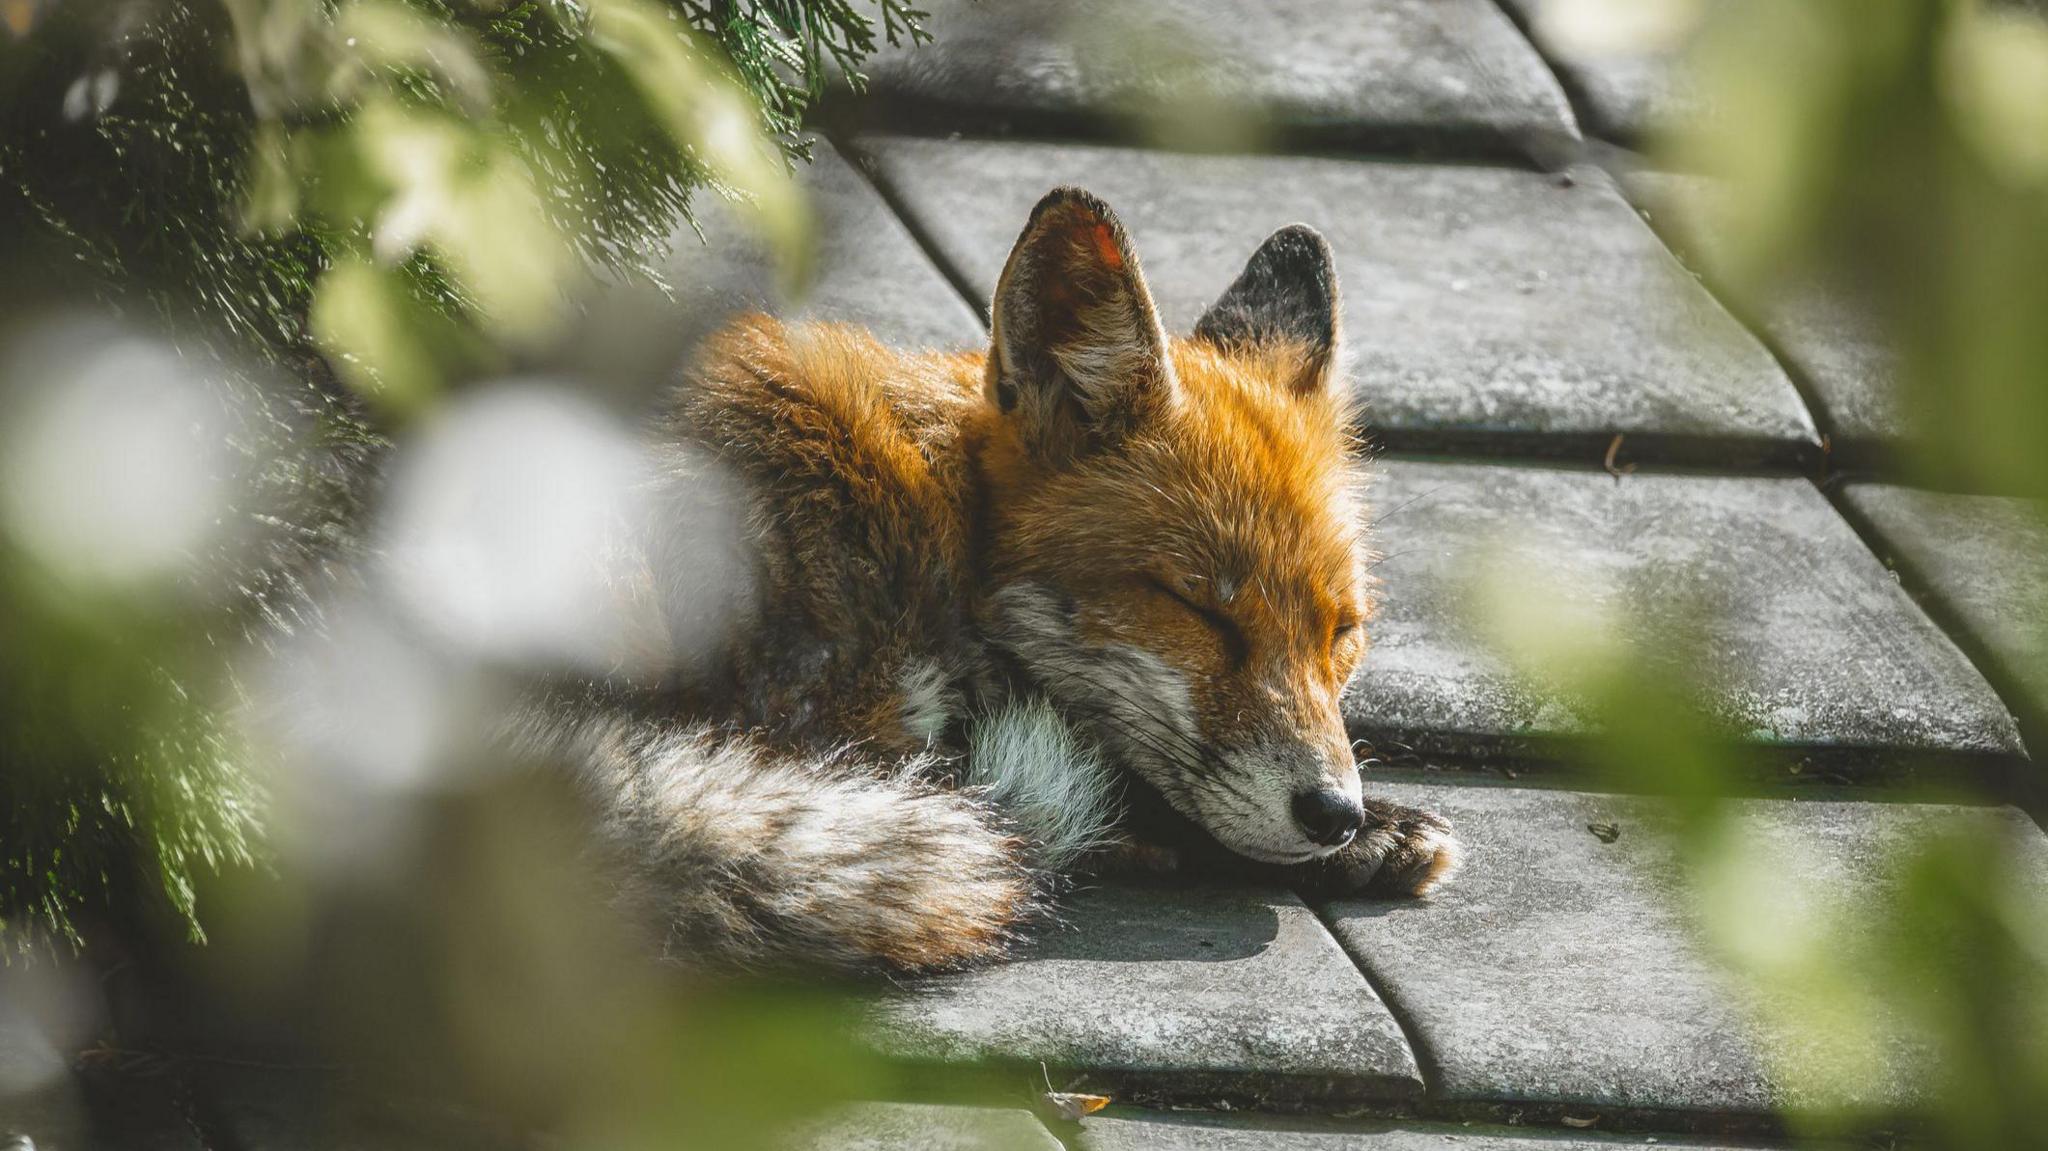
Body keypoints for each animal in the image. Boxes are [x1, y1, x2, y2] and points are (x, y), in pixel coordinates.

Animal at [520, 188, 1466, 966]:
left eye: (1342, 635)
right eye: (1198, 610)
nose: (1334, 812)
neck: (942, 510)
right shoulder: (841, 706)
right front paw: (1374, 834)